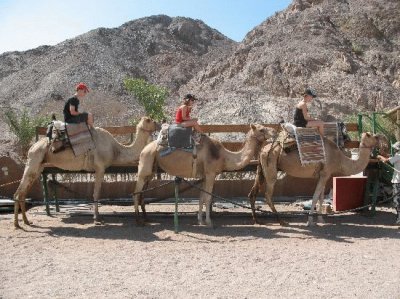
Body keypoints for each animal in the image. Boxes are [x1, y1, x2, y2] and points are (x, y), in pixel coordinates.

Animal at [14, 116, 158, 229]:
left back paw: (26, 221)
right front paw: (97, 218)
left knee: (23, 192)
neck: (115, 149)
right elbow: (96, 193)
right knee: (18, 192)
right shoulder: (100, 168)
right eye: (150, 120)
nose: (159, 123)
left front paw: (98, 217)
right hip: (33, 161)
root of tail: (32, 147)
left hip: (39, 167)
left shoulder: (100, 169)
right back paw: (17, 224)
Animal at [133, 124, 276, 227]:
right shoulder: (211, 173)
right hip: (145, 164)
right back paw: (138, 221)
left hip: (151, 170)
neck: (223, 156)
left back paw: (146, 218)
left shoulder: (204, 176)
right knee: (136, 192)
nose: (274, 131)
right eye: (261, 129)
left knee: (142, 193)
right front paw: (209, 222)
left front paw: (200, 220)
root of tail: (144, 149)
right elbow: (208, 198)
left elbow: (201, 197)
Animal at [248, 132, 386, 226]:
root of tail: (263, 149)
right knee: (267, 195)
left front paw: (321, 219)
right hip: (271, 167)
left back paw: (256, 220)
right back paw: (281, 221)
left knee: (253, 192)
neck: (339, 159)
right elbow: (315, 197)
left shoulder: (324, 175)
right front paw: (310, 221)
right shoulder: (325, 174)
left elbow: (321, 197)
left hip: (261, 169)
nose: (385, 140)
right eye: (375, 136)